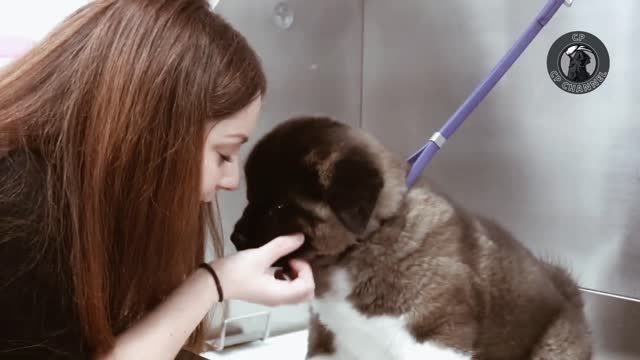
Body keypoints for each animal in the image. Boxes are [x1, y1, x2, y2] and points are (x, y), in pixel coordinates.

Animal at [229, 116, 592, 358]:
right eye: (250, 197)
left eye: (277, 205)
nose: (235, 237)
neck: (367, 241)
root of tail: (571, 297)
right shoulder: (329, 337)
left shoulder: (436, 338)